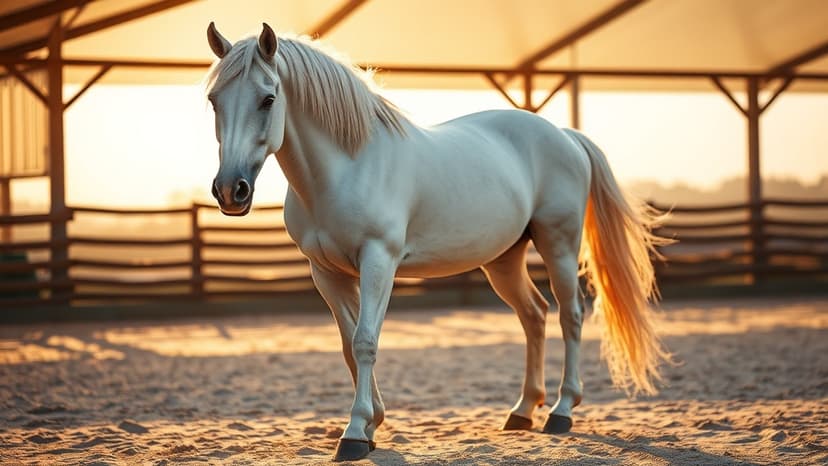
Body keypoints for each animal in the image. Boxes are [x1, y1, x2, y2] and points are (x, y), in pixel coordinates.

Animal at [204, 22, 670, 461]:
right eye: (213, 100)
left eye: (268, 99)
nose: (231, 191)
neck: (345, 167)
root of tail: (564, 134)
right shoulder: (327, 273)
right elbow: (348, 346)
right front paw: (372, 425)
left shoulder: (378, 261)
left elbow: (365, 342)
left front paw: (354, 434)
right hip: (503, 260)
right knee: (534, 315)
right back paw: (522, 412)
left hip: (559, 243)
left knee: (569, 316)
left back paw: (561, 412)